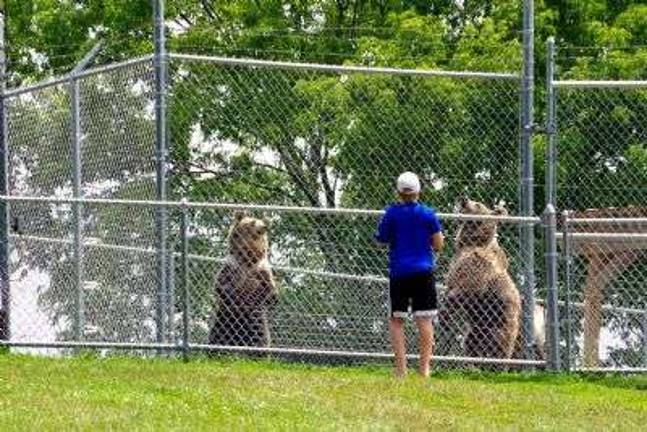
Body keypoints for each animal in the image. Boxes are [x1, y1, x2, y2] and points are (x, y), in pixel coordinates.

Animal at [209, 213, 278, 348]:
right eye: (252, 221)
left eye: (260, 221)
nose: (264, 226)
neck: (248, 259)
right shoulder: (232, 265)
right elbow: (222, 285)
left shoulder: (262, 270)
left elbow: (271, 293)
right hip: (223, 323)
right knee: (216, 338)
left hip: (258, 327)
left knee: (261, 340)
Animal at [442, 199, 544, 364]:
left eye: (477, 204)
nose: (464, 199)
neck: (472, 242)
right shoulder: (457, 263)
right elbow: (451, 284)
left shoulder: (479, 268)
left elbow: (465, 289)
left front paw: (444, 314)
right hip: (477, 329)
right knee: (470, 343)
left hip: (500, 324)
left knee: (500, 348)